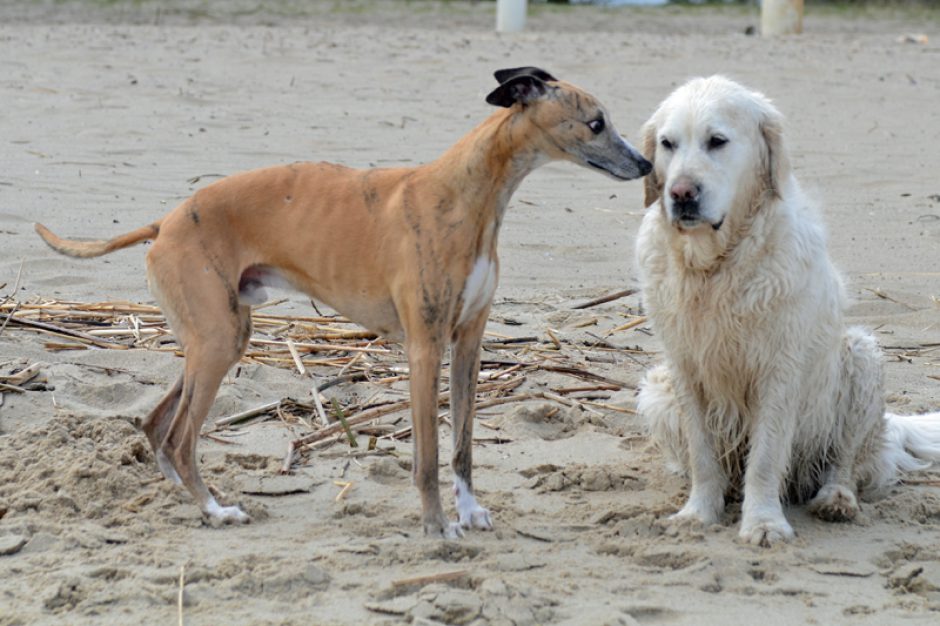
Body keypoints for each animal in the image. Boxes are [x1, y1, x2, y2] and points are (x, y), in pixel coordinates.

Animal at [632, 75, 940, 544]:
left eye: (717, 141)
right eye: (668, 143)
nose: (681, 193)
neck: (714, 268)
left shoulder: (778, 371)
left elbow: (765, 457)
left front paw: (762, 523)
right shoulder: (684, 369)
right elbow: (703, 455)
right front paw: (698, 514)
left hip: (861, 358)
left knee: (845, 464)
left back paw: (836, 501)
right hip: (656, 391)